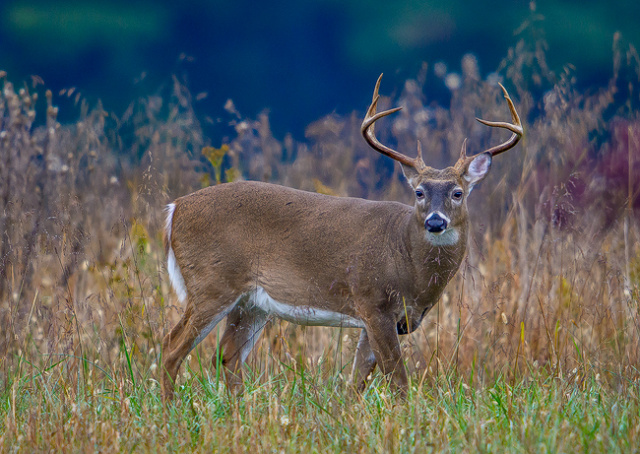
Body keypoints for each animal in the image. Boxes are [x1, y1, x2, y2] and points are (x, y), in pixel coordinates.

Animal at [162, 75, 524, 400]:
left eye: (458, 193)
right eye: (419, 192)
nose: (436, 222)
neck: (408, 263)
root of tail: (175, 208)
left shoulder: (382, 317)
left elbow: (357, 380)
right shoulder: (372, 301)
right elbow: (397, 378)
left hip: (251, 302)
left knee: (227, 354)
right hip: (211, 282)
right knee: (171, 346)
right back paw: (170, 409)